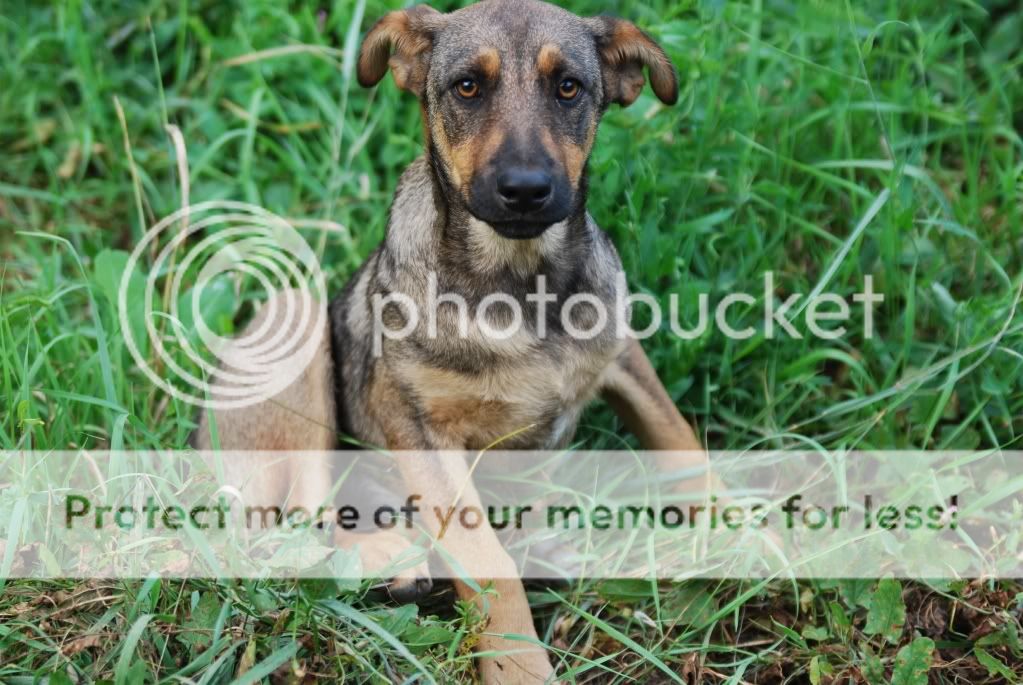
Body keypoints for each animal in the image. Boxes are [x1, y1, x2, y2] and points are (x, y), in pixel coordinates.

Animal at [193, 2, 703, 682]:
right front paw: (520, 667)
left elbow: (682, 443)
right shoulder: (421, 430)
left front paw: (757, 537)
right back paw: (391, 558)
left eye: (569, 87)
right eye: (467, 87)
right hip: (295, 322)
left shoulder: (623, 357)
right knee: (291, 531)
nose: (525, 190)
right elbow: (488, 563)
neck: (520, 281)